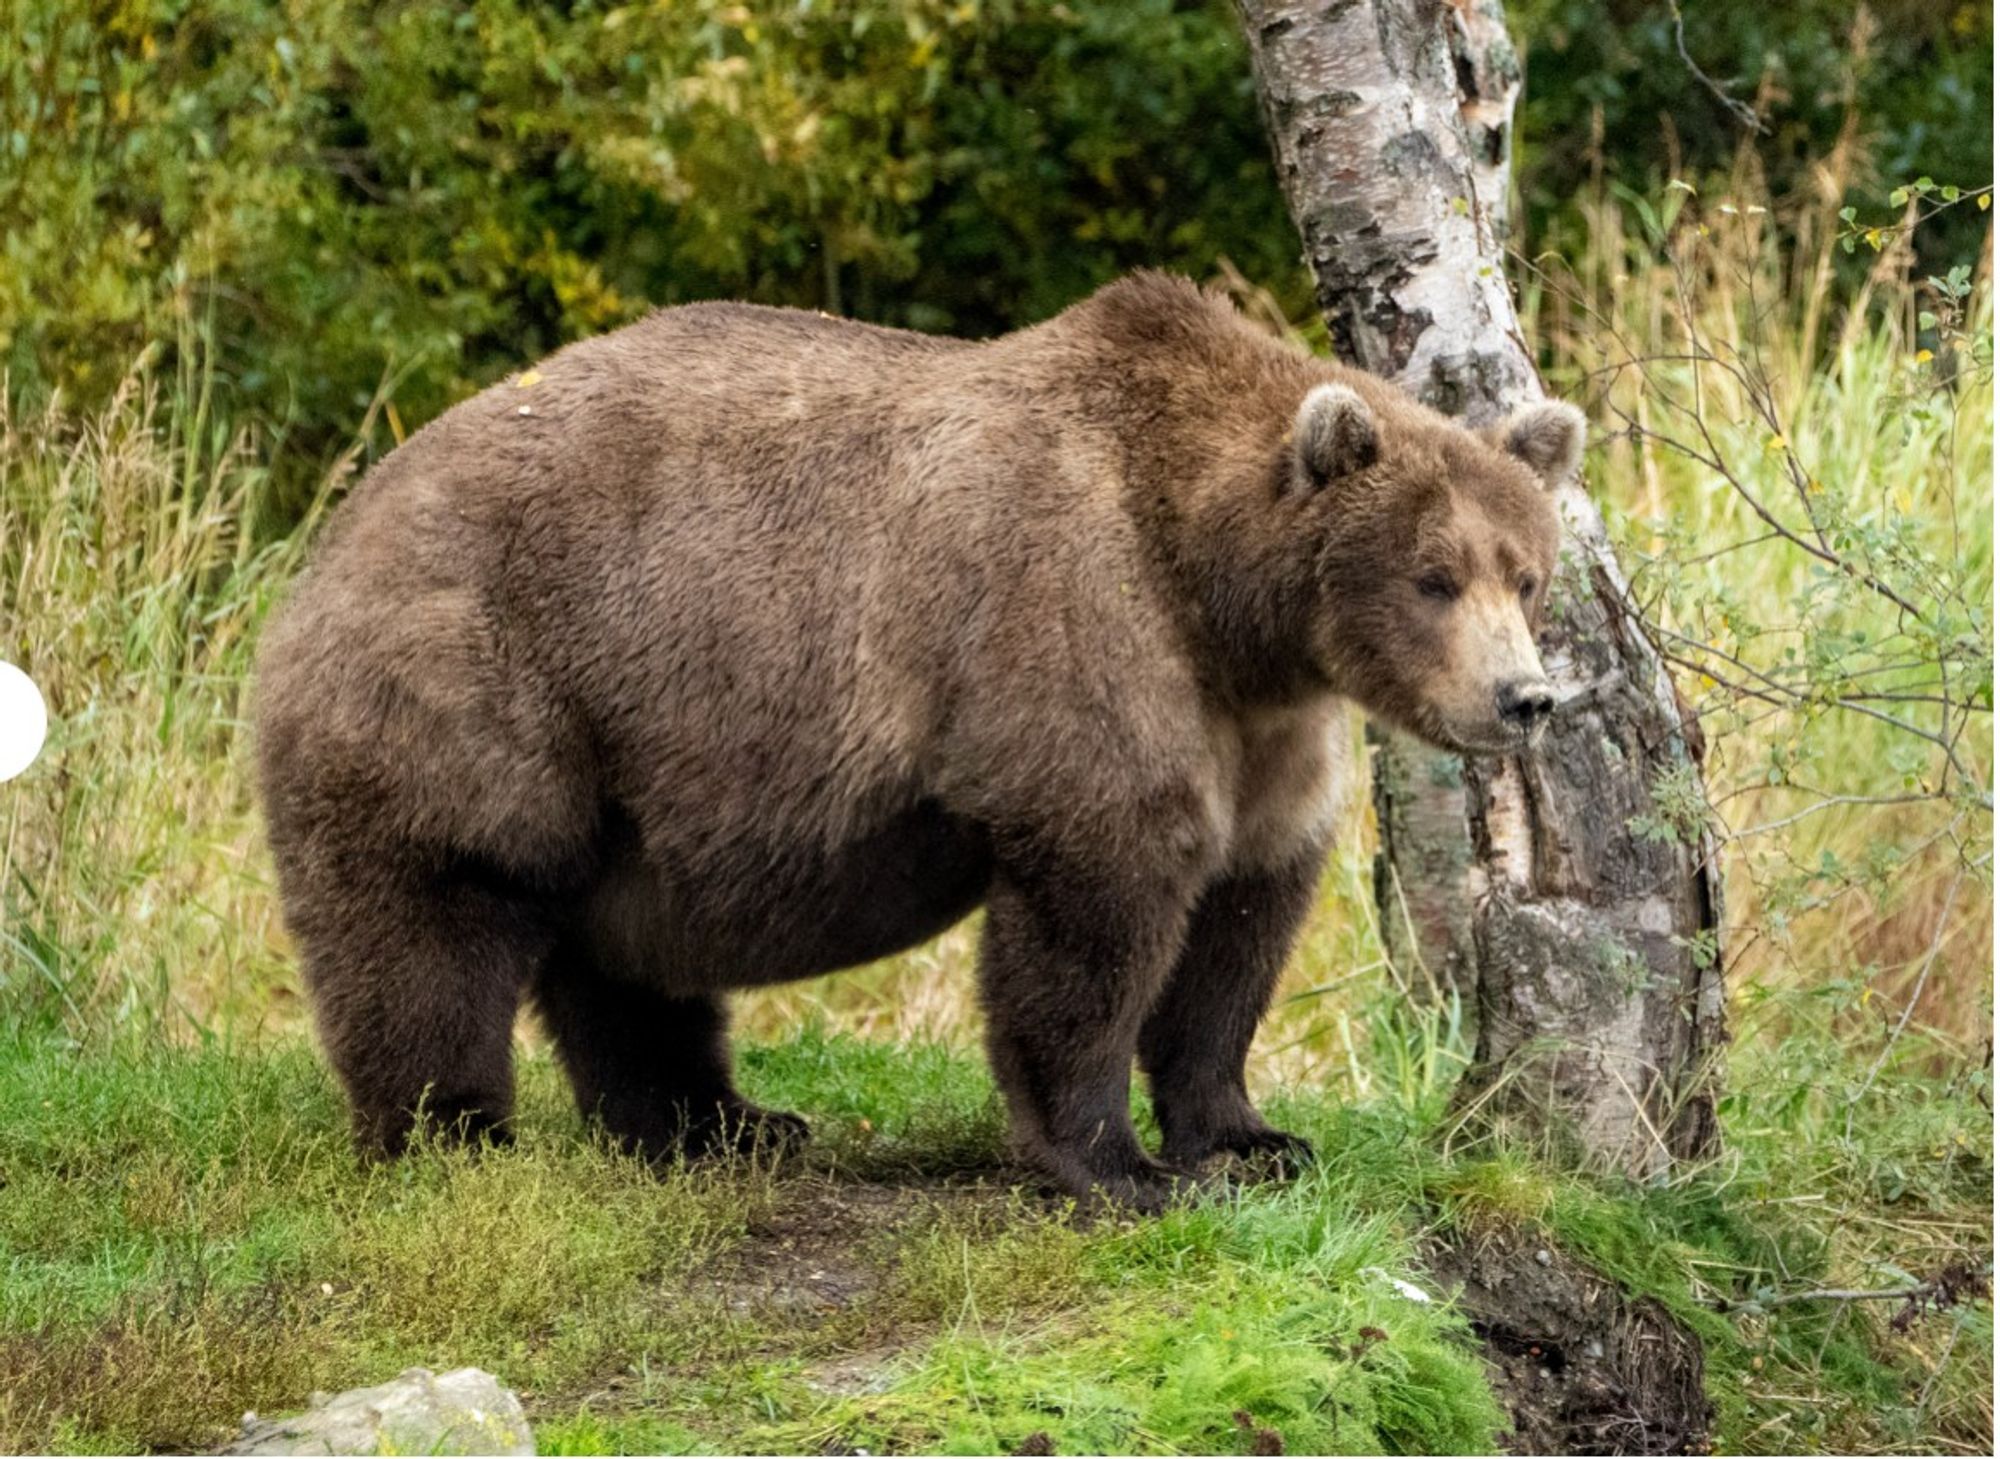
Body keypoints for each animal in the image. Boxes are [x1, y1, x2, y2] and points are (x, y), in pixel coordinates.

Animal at [258, 269, 1584, 1207]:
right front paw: (1116, 1164)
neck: (1221, 600)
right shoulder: (1071, 624)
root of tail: (330, 536)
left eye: (1524, 572)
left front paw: (1250, 1138)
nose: (1522, 697)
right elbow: (1096, 910)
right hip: (478, 680)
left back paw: (725, 1124)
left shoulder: (1266, 732)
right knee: (434, 914)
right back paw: (455, 1135)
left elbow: (1240, 923)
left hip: (630, 766)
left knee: (622, 955)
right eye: (1431, 576)